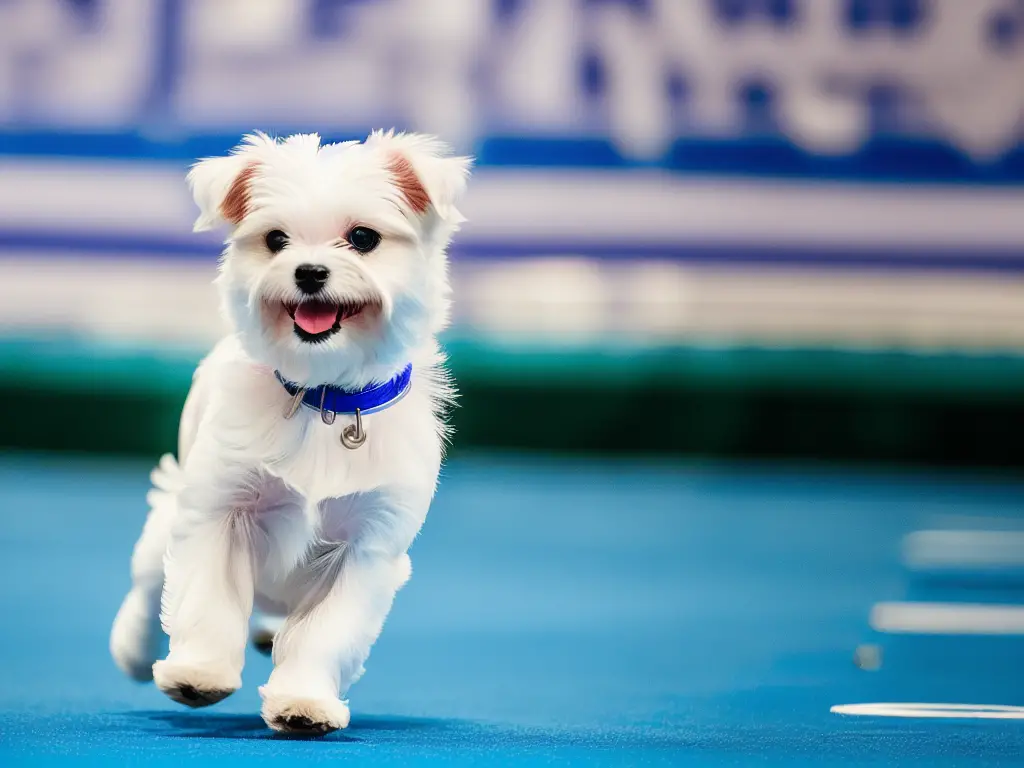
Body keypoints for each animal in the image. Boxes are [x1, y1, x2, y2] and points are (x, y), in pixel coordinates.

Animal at [110, 129, 468, 737]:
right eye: (276, 240)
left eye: (363, 238)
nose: (308, 272)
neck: (323, 397)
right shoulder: (220, 510)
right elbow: (205, 599)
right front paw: (199, 673)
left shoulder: (367, 546)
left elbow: (325, 632)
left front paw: (304, 702)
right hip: (170, 519)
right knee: (148, 583)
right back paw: (135, 649)